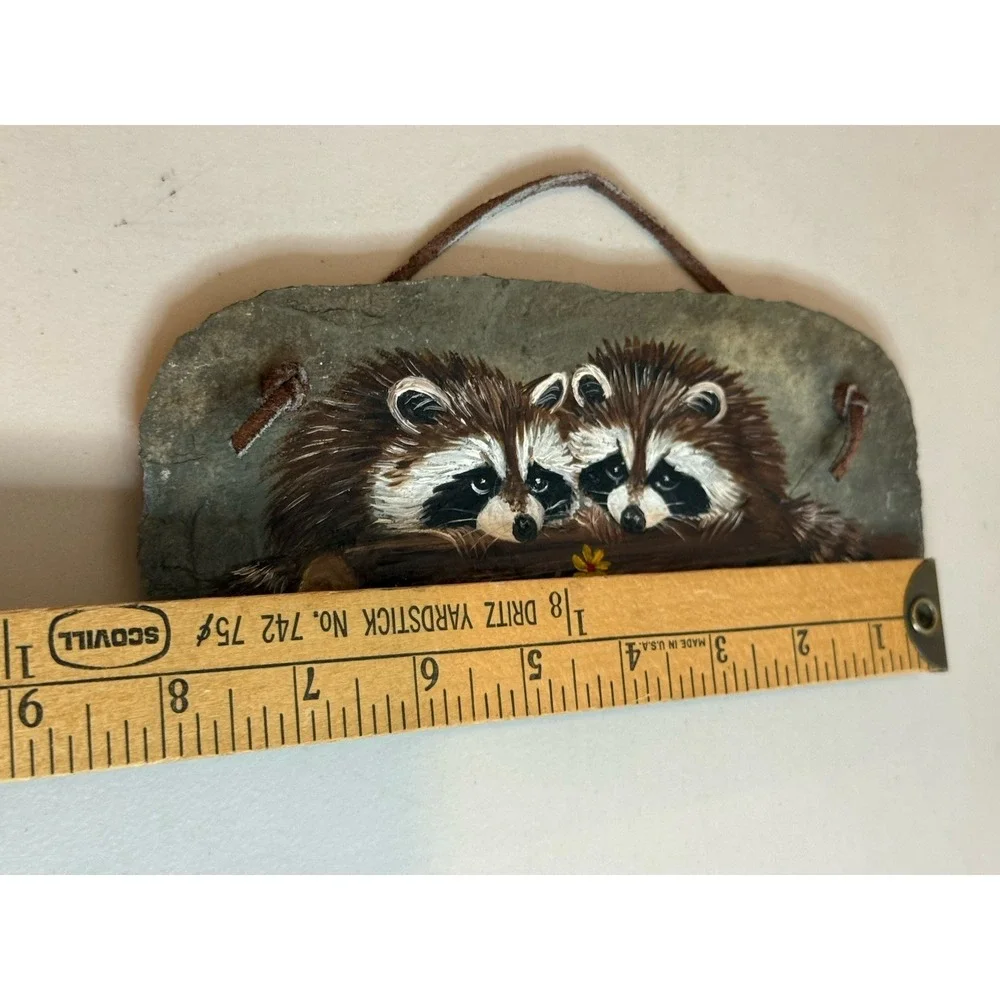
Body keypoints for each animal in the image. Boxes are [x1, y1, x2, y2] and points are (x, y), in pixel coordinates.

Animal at [566, 339, 863, 561]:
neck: (648, 385)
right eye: (616, 468)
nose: (631, 519)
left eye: (667, 478)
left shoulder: (744, 458)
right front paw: (595, 514)